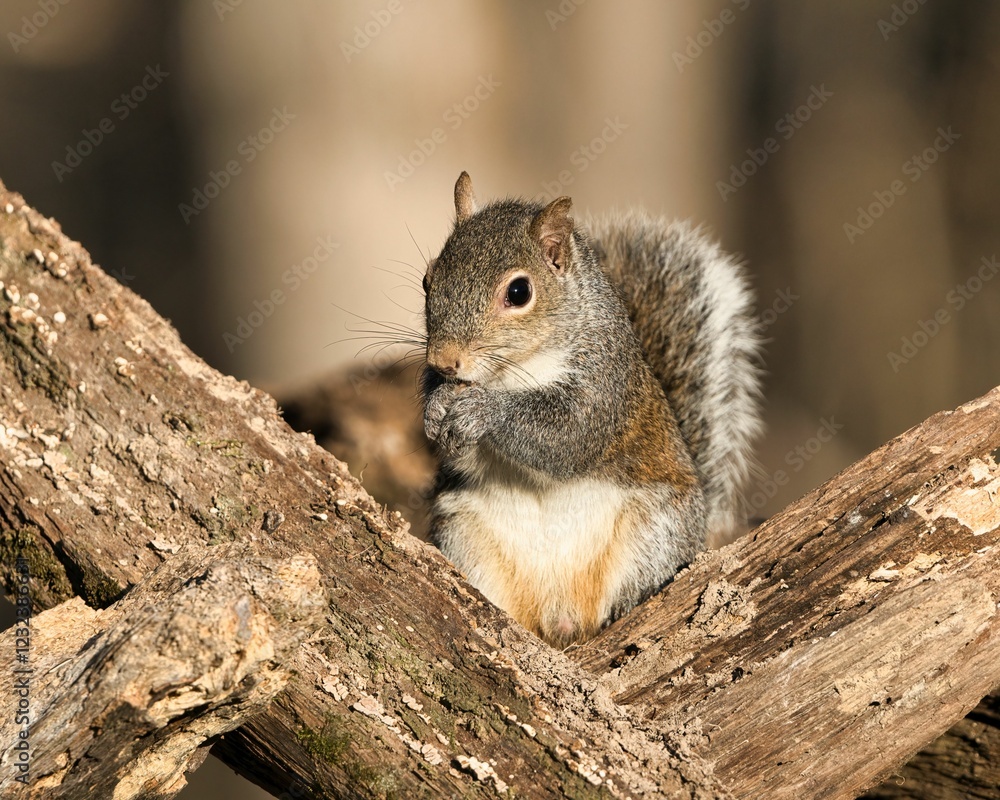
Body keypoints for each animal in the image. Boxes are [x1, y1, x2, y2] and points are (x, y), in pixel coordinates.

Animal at [422, 171, 761, 647]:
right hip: (463, 537)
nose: (444, 360)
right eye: (427, 280)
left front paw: (482, 410)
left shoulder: (605, 386)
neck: (513, 371)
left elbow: (566, 436)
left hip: (654, 533)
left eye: (519, 292)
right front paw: (435, 404)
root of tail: (562, 618)